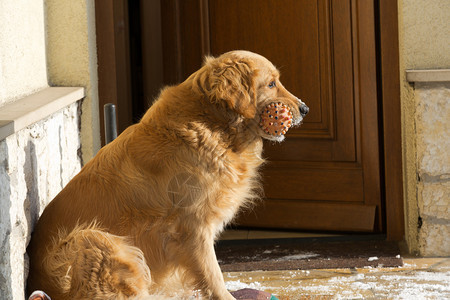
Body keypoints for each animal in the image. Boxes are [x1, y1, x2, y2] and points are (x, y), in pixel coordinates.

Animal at [27, 50, 310, 298]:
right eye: (271, 84)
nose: (305, 109)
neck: (212, 124)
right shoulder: (193, 227)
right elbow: (213, 275)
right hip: (92, 239)